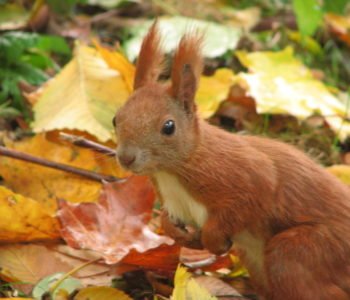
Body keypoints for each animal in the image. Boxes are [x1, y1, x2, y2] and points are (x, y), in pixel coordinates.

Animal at [114, 22, 350, 298]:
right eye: (116, 119)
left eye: (169, 127)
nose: (126, 157)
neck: (172, 172)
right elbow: (168, 221)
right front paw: (177, 232)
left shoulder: (244, 174)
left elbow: (247, 201)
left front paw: (213, 240)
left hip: (308, 250)